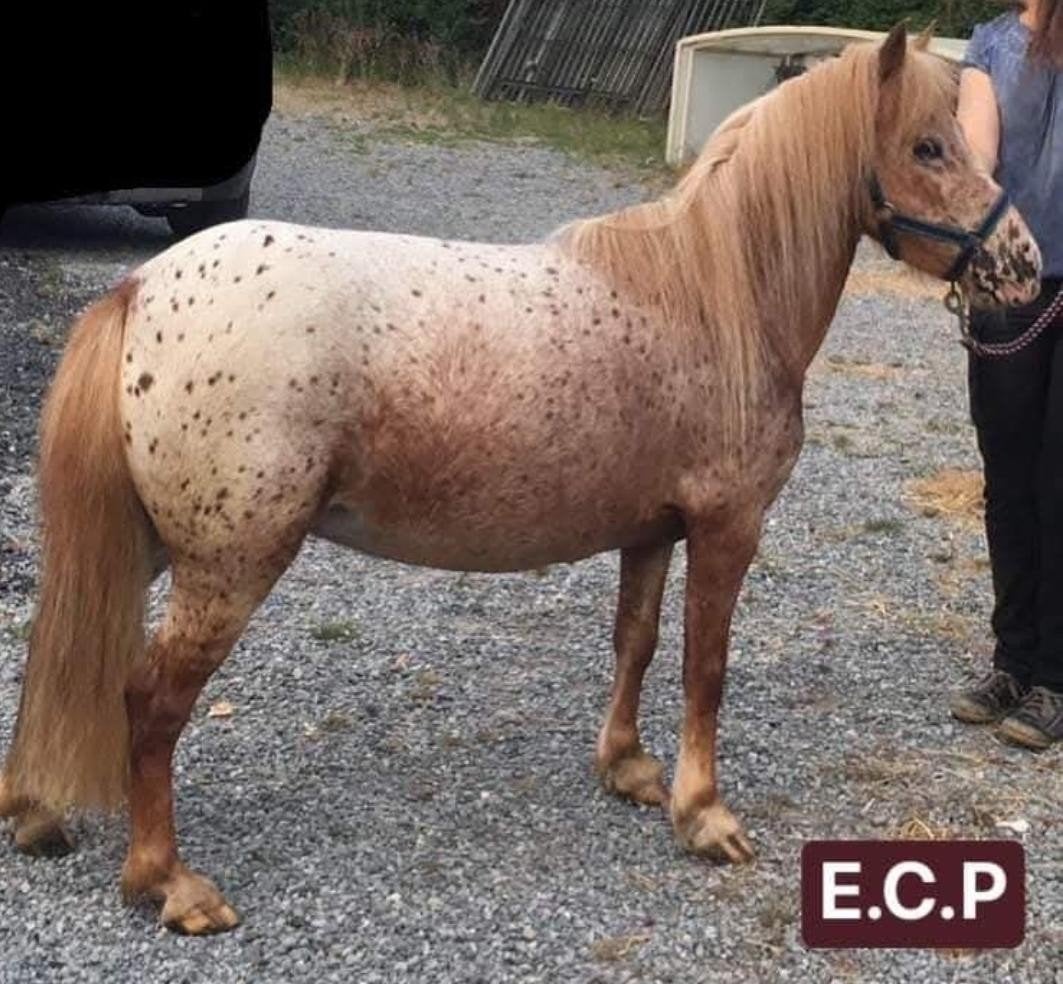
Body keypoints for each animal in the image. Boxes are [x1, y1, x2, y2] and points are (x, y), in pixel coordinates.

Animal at [0, 25, 1042, 935]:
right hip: (227, 564)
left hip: (148, 546)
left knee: (60, 650)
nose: (1022, 265)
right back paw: (167, 884)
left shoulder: (651, 530)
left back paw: (36, 811)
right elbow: (704, 669)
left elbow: (636, 644)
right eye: (927, 145)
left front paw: (628, 771)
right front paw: (703, 816)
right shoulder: (726, 528)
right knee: (147, 701)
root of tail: (142, 289)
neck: (715, 293)